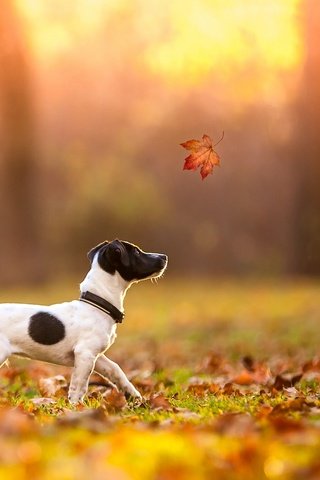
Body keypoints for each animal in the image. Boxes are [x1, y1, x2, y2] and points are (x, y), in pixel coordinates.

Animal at [0, 239, 169, 402]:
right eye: (136, 252)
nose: (164, 256)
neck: (98, 305)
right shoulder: (85, 353)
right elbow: (79, 386)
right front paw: (76, 407)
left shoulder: (96, 356)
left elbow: (115, 369)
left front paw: (133, 395)